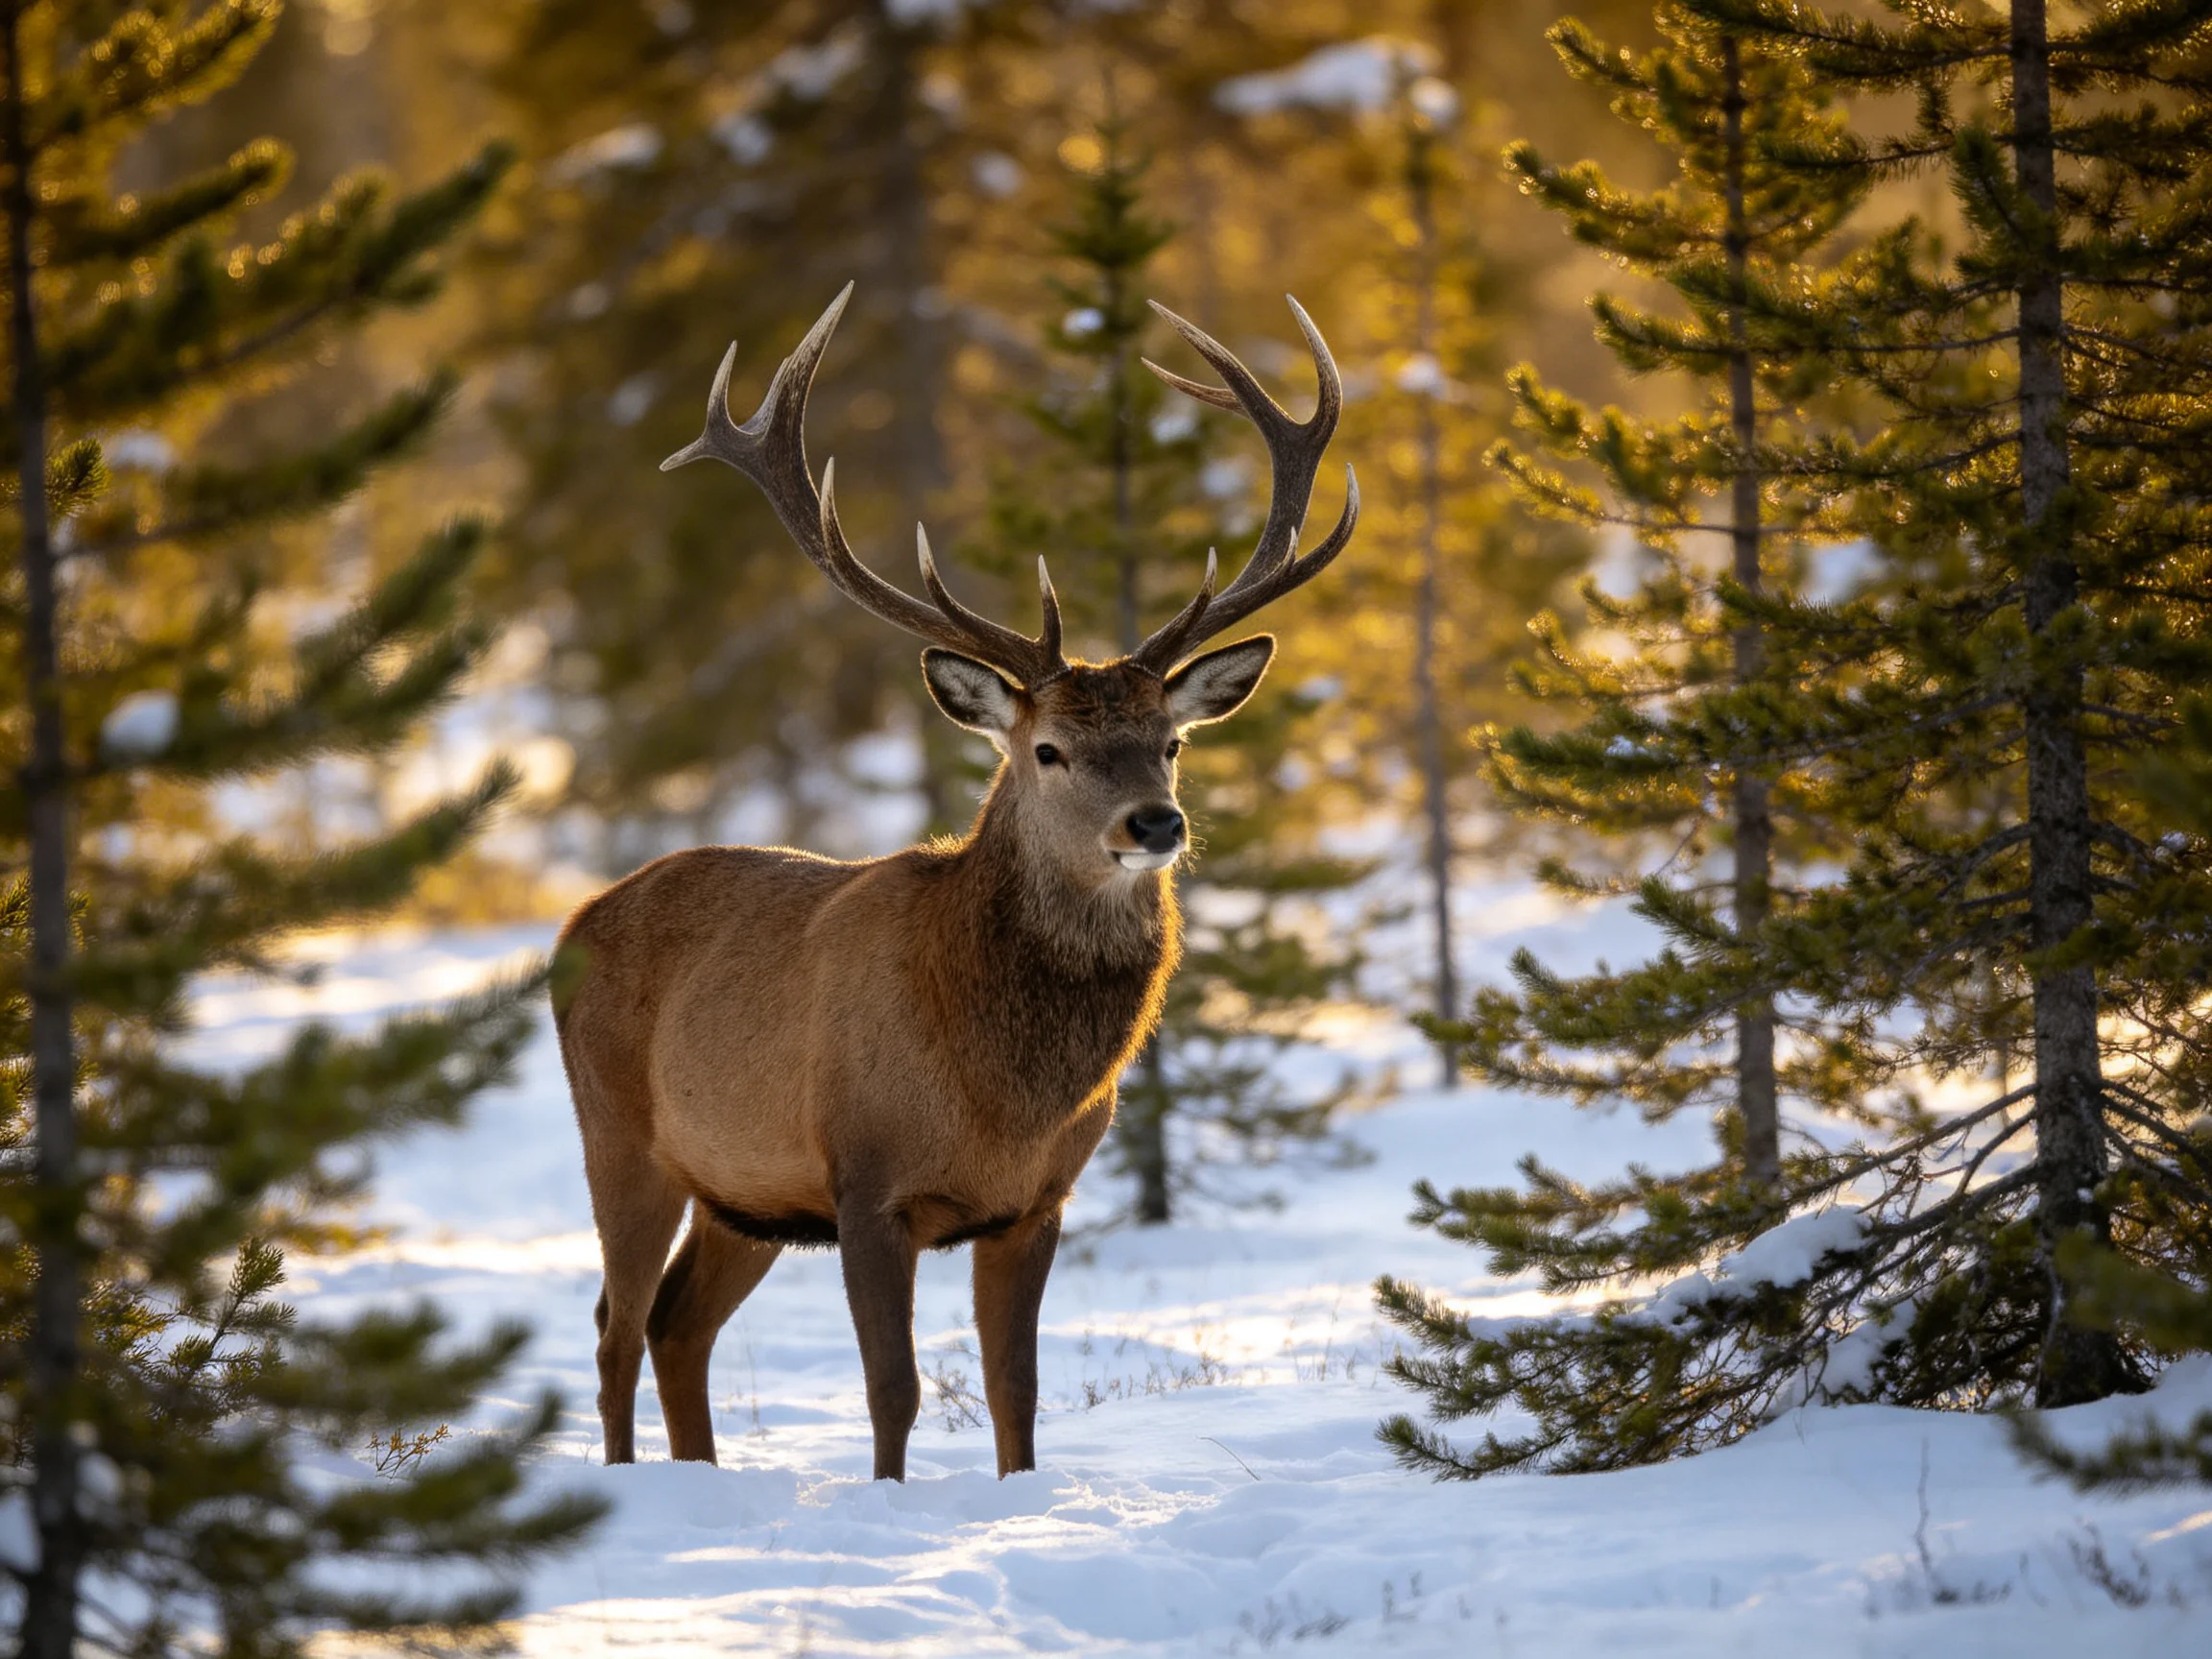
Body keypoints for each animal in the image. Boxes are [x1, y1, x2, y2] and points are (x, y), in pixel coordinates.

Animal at [553, 282, 1357, 1482]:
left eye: (1170, 742)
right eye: (1048, 751)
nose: (1155, 823)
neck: (1001, 1087)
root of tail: (571, 927)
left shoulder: (1037, 1201)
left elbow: (1017, 1389)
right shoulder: (865, 1181)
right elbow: (893, 1388)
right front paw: (889, 1500)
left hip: (741, 1193)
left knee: (675, 1323)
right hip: (620, 1136)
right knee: (613, 1325)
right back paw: (630, 1485)